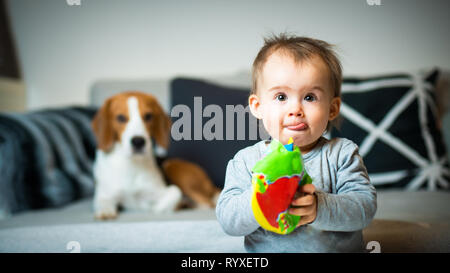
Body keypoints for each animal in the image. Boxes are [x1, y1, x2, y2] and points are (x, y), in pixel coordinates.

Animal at [92, 91, 220, 219]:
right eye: (120, 118)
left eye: (148, 116)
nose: (138, 141)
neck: (132, 165)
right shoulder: (104, 195)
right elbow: (102, 202)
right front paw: (105, 211)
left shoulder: (161, 192)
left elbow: (174, 193)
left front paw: (156, 208)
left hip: (172, 166)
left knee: (208, 203)